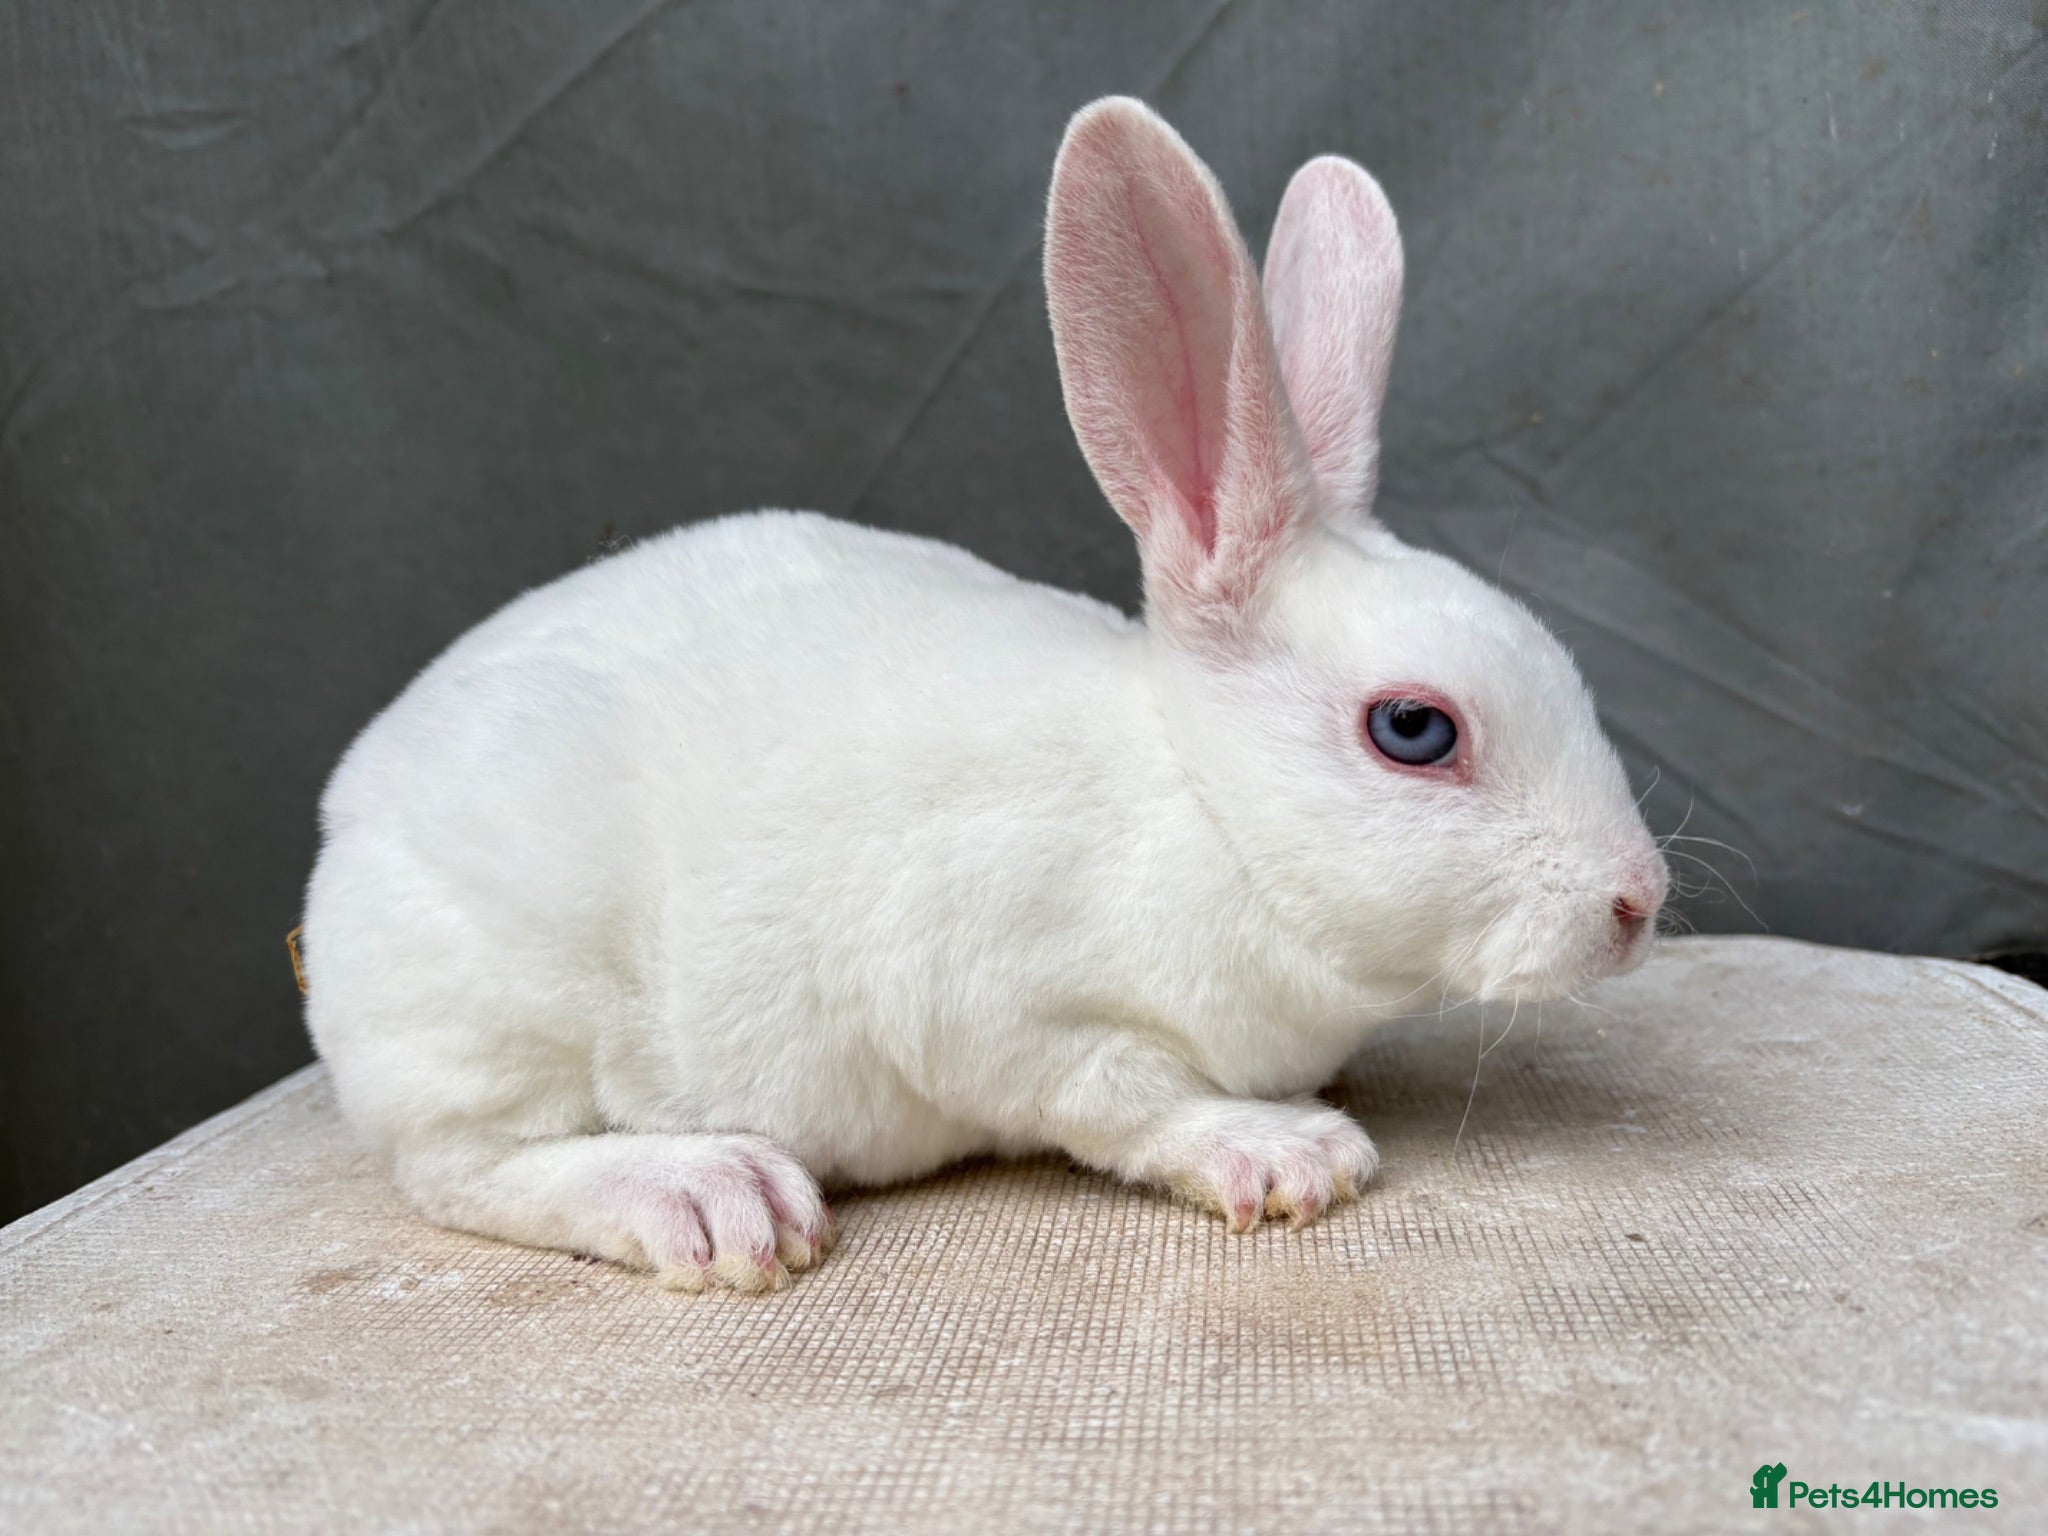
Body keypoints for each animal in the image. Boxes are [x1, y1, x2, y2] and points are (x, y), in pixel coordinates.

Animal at [302, 97, 1667, 1294]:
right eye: (1413, 730)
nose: (1637, 902)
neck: (1203, 809)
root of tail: (345, 830)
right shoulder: (1007, 1007)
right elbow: (1124, 1098)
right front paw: (1285, 1151)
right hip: (497, 1010)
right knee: (464, 1168)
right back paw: (708, 1195)